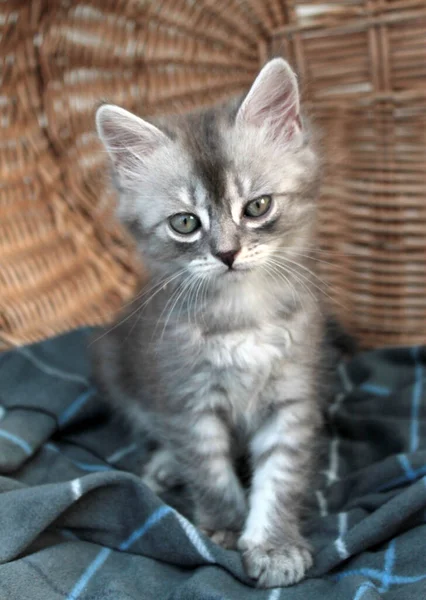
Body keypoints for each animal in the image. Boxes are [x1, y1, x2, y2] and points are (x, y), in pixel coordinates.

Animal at [94, 59, 326, 584]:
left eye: (257, 206)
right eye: (185, 223)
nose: (227, 253)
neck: (242, 313)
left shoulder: (292, 395)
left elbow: (280, 476)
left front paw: (274, 546)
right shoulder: (186, 397)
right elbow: (209, 469)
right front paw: (225, 525)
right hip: (118, 367)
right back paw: (164, 465)